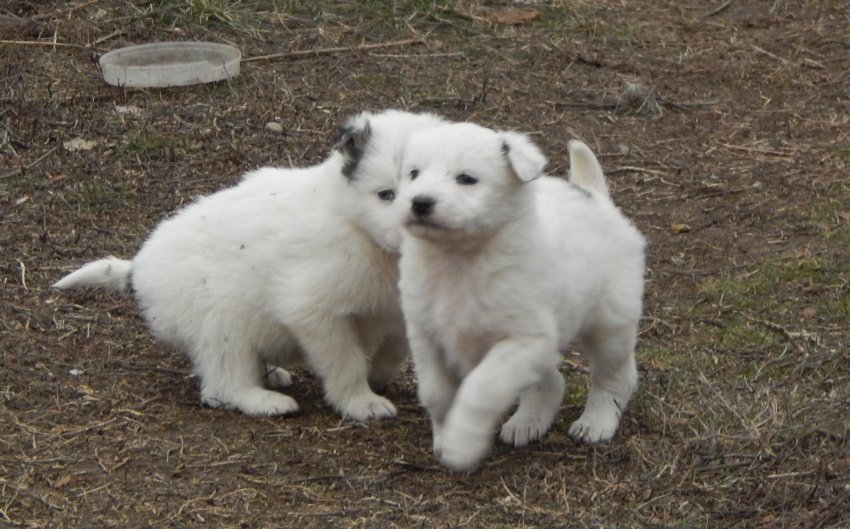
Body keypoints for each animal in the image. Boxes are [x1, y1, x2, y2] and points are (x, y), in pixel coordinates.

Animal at [53, 109, 448, 418]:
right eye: (385, 195)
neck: (358, 228)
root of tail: (137, 267)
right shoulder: (313, 310)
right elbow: (344, 360)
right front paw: (360, 402)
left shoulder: (398, 312)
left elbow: (394, 351)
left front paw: (377, 379)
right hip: (219, 321)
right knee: (223, 383)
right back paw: (262, 399)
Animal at [396, 121, 644, 468]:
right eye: (414, 173)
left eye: (466, 178)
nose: (419, 202)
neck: (459, 259)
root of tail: (594, 196)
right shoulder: (426, 337)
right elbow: (436, 393)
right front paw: (445, 437)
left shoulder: (522, 341)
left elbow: (480, 389)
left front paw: (462, 444)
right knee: (553, 382)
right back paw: (528, 422)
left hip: (611, 324)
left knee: (615, 376)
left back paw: (596, 421)